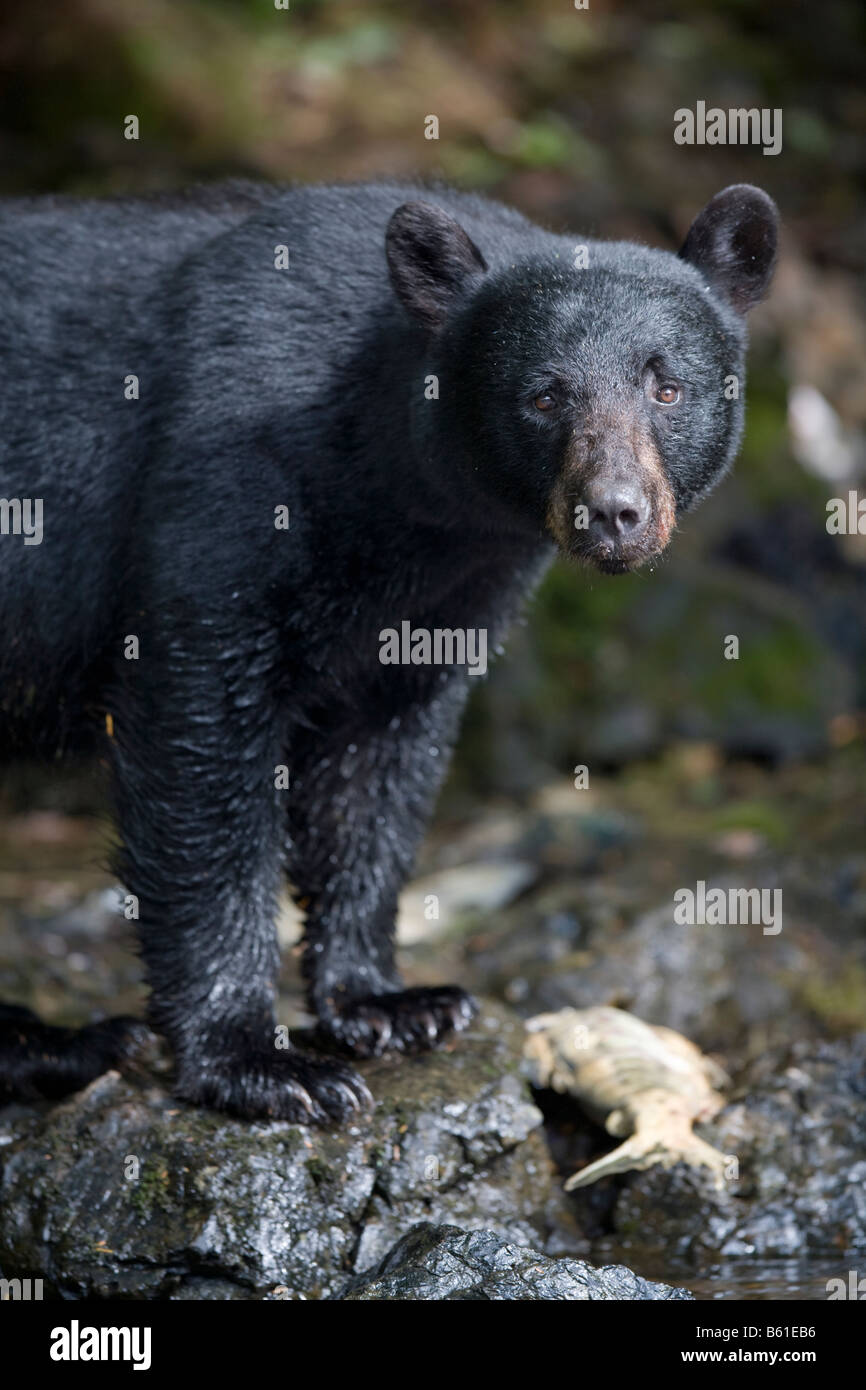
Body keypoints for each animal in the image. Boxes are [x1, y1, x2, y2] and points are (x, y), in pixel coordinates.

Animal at [0, 182, 778, 1117]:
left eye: (669, 387)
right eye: (543, 397)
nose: (614, 511)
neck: (401, 497)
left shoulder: (451, 591)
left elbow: (376, 769)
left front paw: (390, 1002)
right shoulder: (225, 487)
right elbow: (202, 742)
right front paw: (258, 1062)